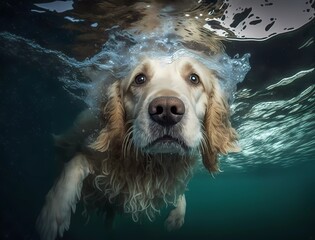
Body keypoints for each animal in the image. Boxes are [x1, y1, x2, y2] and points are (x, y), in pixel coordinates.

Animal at [35, 38, 241, 239]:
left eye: (194, 78)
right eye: (139, 79)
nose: (167, 110)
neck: (149, 163)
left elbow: (180, 192)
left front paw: (177, 217)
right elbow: (74, 163)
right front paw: (54, 213)